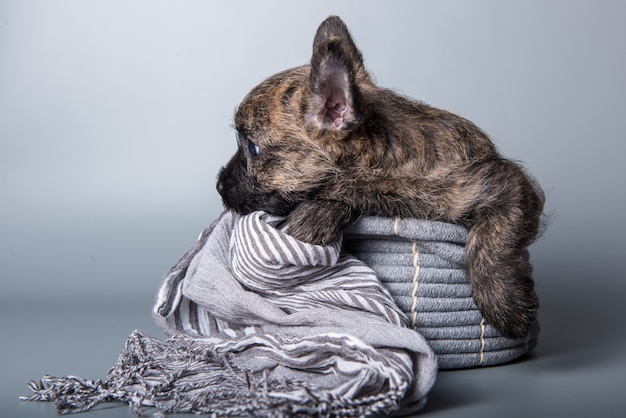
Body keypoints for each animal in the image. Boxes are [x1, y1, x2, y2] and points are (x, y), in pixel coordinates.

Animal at [216, 15, 540, 340]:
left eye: (252, 148)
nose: (219, 185)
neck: (388, 164)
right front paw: (316, 217)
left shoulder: (506, 187)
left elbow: (492, 242)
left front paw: (506, 305)